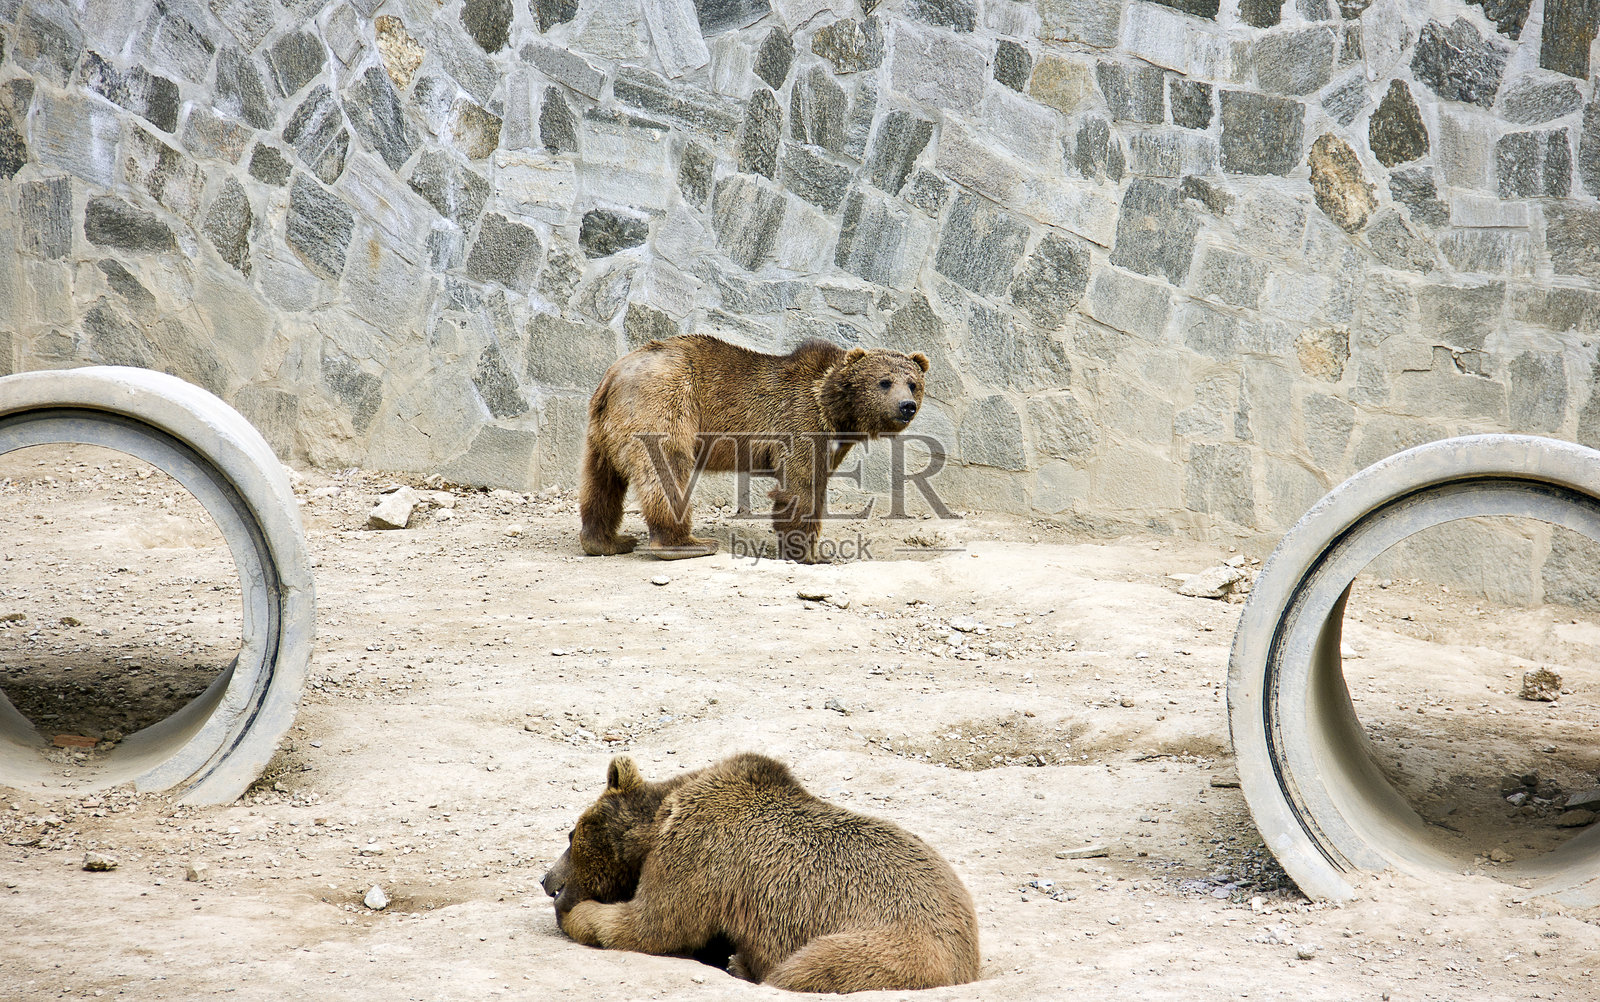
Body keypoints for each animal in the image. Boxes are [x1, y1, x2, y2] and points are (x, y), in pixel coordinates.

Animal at [540, 753, 980, 994]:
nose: (546, 880)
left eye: (571, 834)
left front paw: (576, 914)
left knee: (810, 967)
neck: (661, 821)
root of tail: (969, 959)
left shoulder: (696, 858)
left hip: (894, 944)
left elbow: (651, 924)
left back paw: (743, 966)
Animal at [577, 335, 929, 562]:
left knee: (601, 481)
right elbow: (800, 486)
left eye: (912, 383)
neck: (835, 410)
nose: (906, 406)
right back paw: (688, 543)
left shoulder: (830, 443)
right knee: (667, 470)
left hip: (602, 429)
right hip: (664, 402)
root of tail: (614, 374)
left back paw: (607, 541)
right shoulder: (800, 423)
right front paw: (810, 554)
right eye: (884, 382)